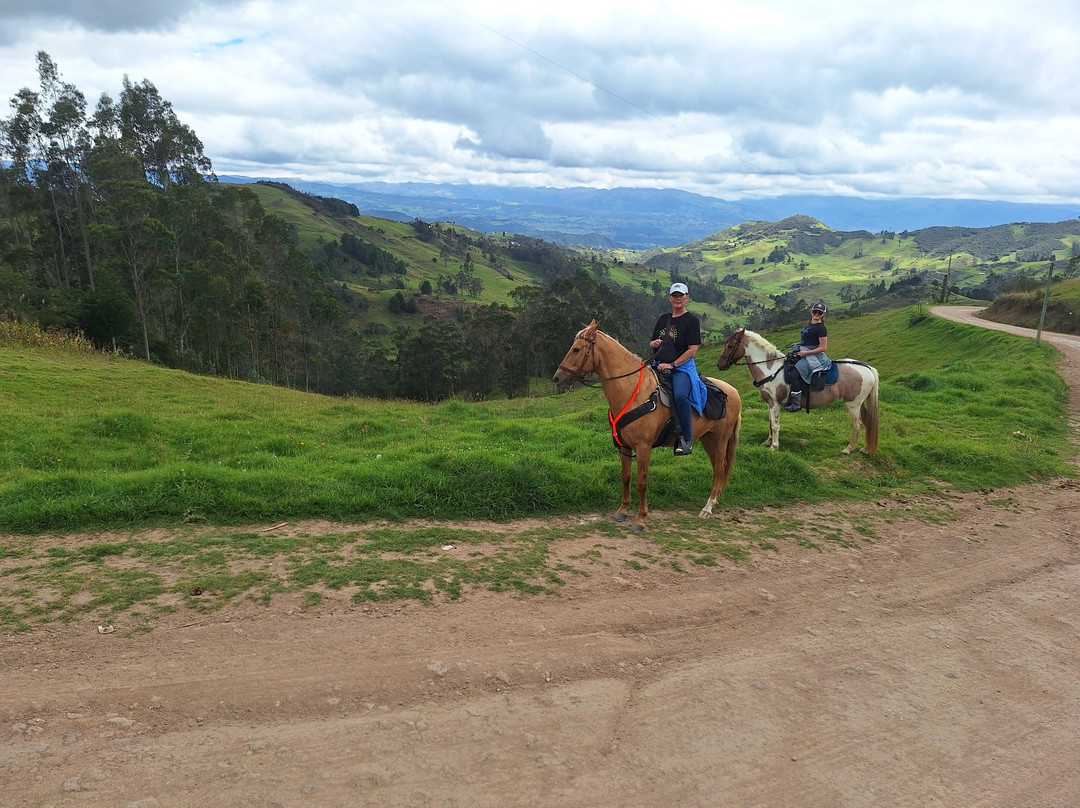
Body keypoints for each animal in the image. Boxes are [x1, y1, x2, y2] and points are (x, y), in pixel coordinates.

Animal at [552, 319, 738, 533]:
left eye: (576, 349)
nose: (557, 378)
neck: (633, 392)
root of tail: (733, 392)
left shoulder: (643, 447)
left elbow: (641, 481)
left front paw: (640, 519)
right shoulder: (623, 447)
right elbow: (625, 477)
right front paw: (622, 510)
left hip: (721, 439)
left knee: (720, 467)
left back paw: (708, 507)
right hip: (708, 439)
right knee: (717, 467)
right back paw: (713, 501)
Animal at [717, 326, 876, 453]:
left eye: (730, 346)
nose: (720, 365)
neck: (771, 369)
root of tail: (868, 368)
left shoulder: (775, 403)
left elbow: (775, 425)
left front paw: (774, 446)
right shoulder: (769, 403)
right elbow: (770, 423)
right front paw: (767, 442)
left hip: (853, 404)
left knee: (857, 425)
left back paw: (848, 449)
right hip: (860, 404)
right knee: (867, 423)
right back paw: (865, 448)